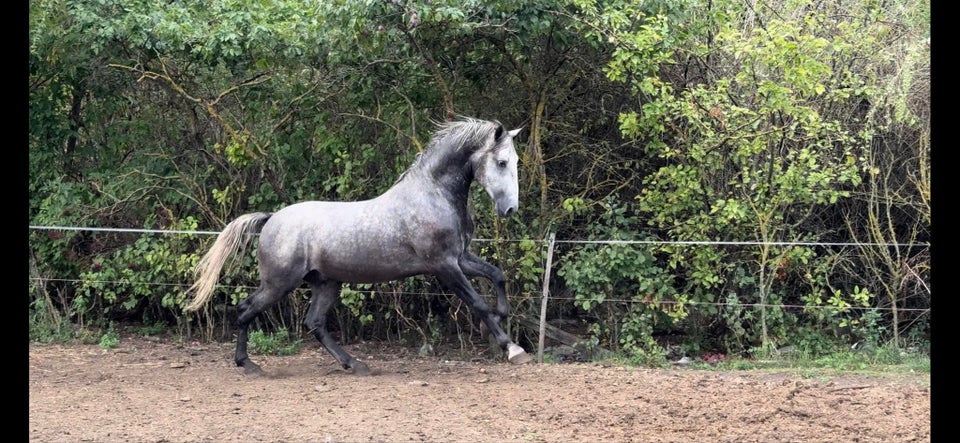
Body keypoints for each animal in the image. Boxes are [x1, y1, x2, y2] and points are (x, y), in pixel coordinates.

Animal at [186, 117, 532, 374]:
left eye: (516, 161)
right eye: (502, 162)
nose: (510, 209)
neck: (433, 195)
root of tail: (272, 219)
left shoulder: (460, 257)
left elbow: (497, 275)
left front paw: (500, 319)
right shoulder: (444, 266)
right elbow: (478, 303)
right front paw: (512, 347)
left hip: (326, 283)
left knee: (314, 323)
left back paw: (354, 364)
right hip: (279, 283)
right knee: (246, 310)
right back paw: (248, 365)